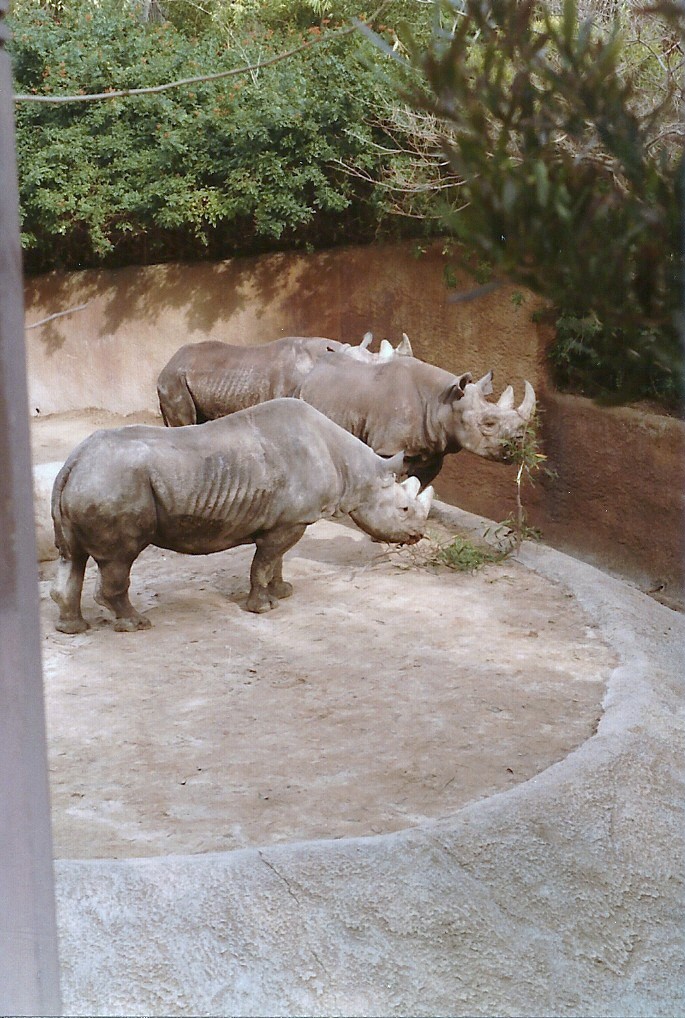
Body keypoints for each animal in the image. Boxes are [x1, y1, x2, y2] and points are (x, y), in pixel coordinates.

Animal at [50, 398, 433, 633]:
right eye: (404, 509)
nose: (418, 536)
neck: (354, 469)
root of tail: (74, 461)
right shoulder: (289, 522)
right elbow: (263, 563)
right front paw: (263, 608)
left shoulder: (285, 520)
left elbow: (276, 561)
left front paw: (284, 591)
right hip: (113, 483)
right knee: (119, 558)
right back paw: (136, 624)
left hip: (92, 480)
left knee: (73, 557)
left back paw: (72, 628)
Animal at [298, 354, 536, 488]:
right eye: (488, 423)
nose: (519, 445)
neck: (441, 401)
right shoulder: (388, 447)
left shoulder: (434, 451)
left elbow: (419, 484)